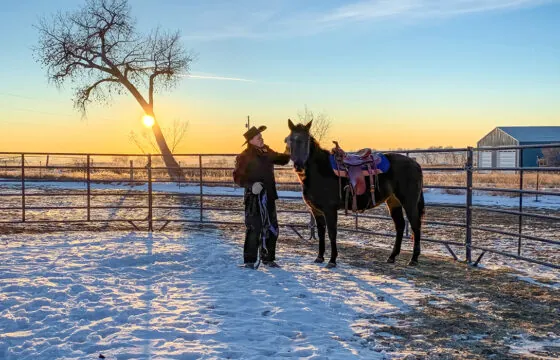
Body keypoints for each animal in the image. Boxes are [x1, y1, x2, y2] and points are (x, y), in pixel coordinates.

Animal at [284, 119, 424, 268]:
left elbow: (332, 233)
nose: (298, 166)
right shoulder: (316, 211)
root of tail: (415, 164)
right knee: (400, 225)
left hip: (409, 202)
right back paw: (392, 257)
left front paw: (332, 260)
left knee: (415, 225)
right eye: (288, 140)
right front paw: (319, 257)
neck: (320, 171)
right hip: (393, 201)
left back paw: (414, 259)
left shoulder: (329, 210)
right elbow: (321, 233)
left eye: (306, 140)